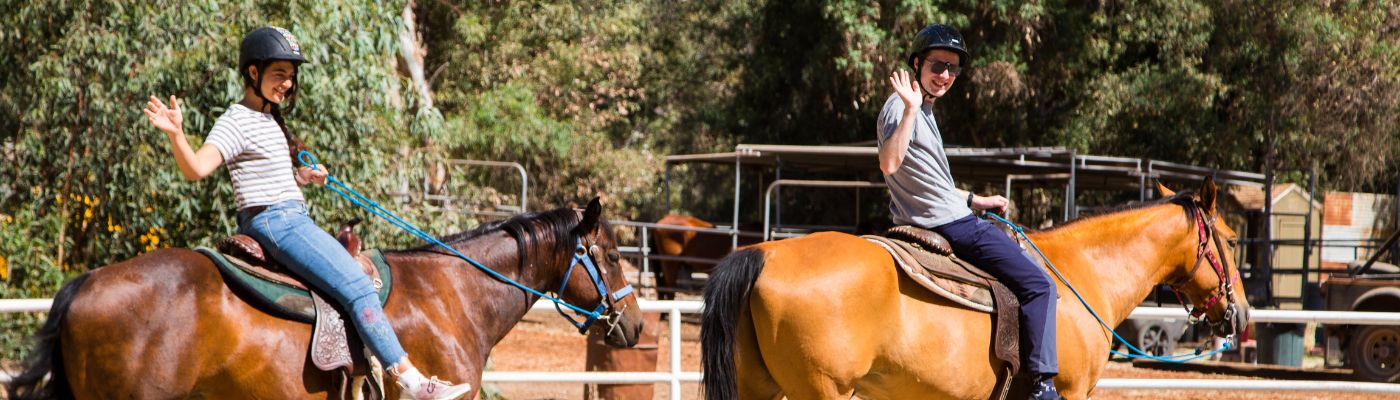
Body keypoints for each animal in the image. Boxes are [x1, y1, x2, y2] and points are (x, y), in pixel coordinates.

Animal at [700, 180, 1248, 400]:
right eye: (1232, 239)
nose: (1241, 314)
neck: (1081, 273)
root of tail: (764, 254)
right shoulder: (1069, 391)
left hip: (758, 388)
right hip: (823, 391)